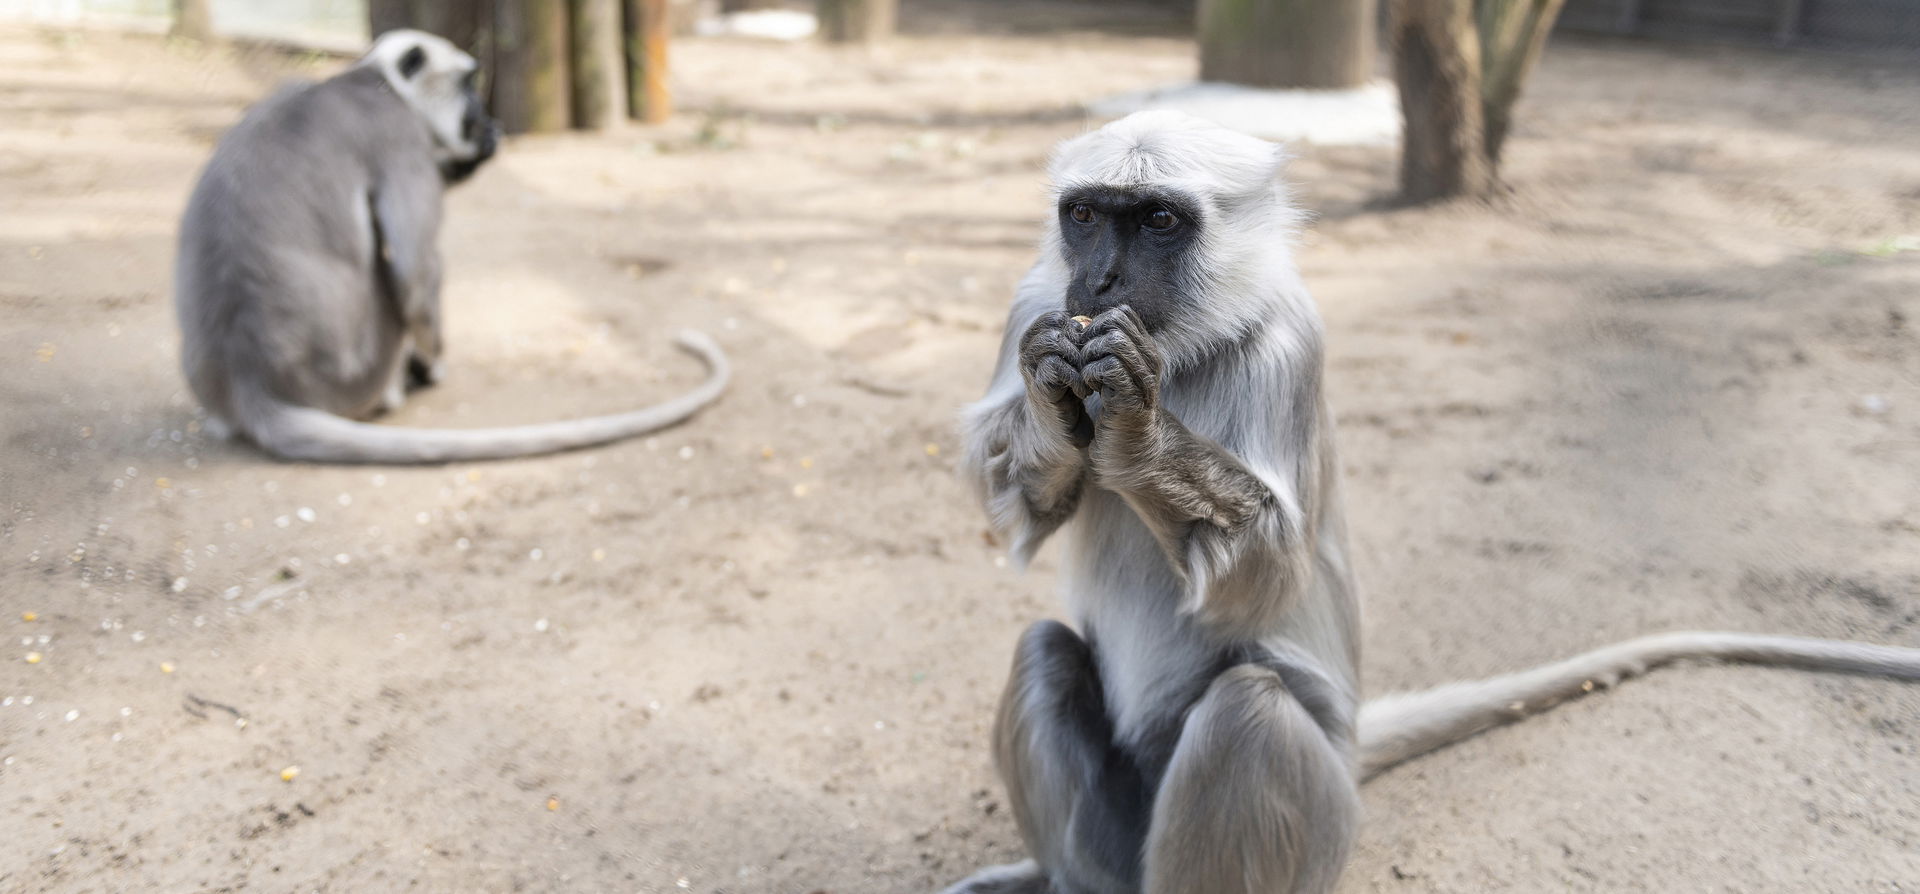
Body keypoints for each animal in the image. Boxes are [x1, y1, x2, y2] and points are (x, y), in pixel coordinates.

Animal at [174, 29, 725, 460]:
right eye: (468, 85)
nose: (486, 120)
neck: (368, 80)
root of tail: (252, 386)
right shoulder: (400, 135)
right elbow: (414, 272)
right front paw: (434, 363)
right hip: (363, 367)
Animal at [944, 111, 1920, 894]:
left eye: (1154, 220)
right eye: (1083, 216)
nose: (1101, 284)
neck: (1184, 347)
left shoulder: (1291, 341)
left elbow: (1260, 584)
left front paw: (1137, 436)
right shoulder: (1035, 301)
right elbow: (1017, 512)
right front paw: (1053, 396)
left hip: (1321, 814)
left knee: (1248, 708)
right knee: (1045, 652)